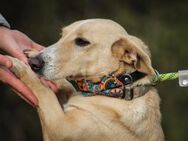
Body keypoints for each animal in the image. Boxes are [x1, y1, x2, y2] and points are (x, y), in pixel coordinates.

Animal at [9, 19, 164, 141]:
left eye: (82, 42)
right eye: (62, 36)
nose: (33, 63)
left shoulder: (59, 128)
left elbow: (46, 92)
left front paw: (22, 68)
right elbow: (65, 85)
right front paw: (32, 54)